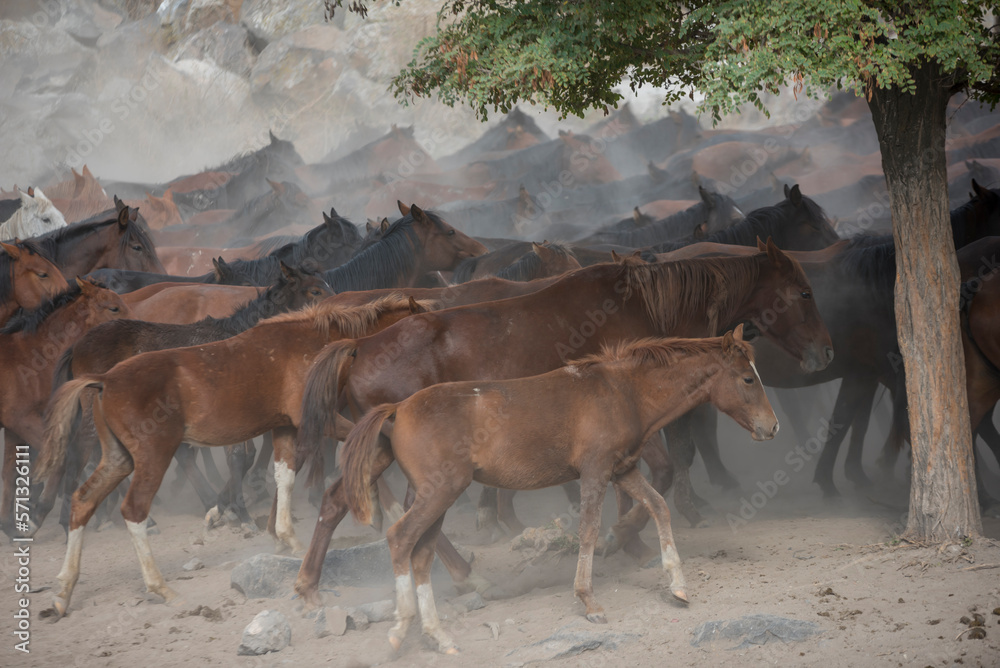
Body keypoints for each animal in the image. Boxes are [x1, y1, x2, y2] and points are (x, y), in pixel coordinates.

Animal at [0, 280, 131, 536]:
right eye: (113, 308)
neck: (29, 358)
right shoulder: (22, 420)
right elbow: (63, 457)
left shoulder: (14, 429)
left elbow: (10, 473)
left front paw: (11, 526)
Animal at [35, 294, 432, 620]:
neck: (313, 344)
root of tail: (105, 380)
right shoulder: (320, 420)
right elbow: (361, 448)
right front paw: (383, 509)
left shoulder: (285, 428)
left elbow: (285, 475)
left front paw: (285, 536)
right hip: (152, 457)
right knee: (133, 510)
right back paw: (160, 587)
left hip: (119, 459)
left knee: (83, 500)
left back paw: (63, 591)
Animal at [292, 241, 836, 604]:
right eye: (804, 293)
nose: (825, 353)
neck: (640, 304)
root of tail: (358, 346)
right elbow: (655, 476)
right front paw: (624, 539)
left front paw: (629, 541)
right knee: (405, 516)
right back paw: (465, 577)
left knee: (342, 501)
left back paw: (312, 583)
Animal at [340, 328, 776, 652]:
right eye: (747, 378)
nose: (772, 428)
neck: (623, 392)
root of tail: (398, 410)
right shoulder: (595, 471)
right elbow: (589, 529)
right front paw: (589, 601)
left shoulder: (623, 470)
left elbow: (657, 507)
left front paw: (678, 586)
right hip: (439, 493)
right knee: (400, 539)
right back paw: (402, 629)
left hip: (438, 498)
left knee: (422, 553)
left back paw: (438, 634)